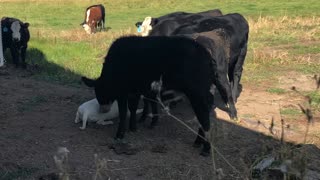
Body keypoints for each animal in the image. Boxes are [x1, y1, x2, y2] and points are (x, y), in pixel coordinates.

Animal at [82, 35, 218, 156]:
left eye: (102, 92)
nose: (103, 110)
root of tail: (207, 56)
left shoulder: (123, 93)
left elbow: (123, 113)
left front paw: (120, 135)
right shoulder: (135, 91)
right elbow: (133, 108)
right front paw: (133, 127)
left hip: (197, 93)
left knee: (204, 118)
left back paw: (206, 149)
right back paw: (198, 142)